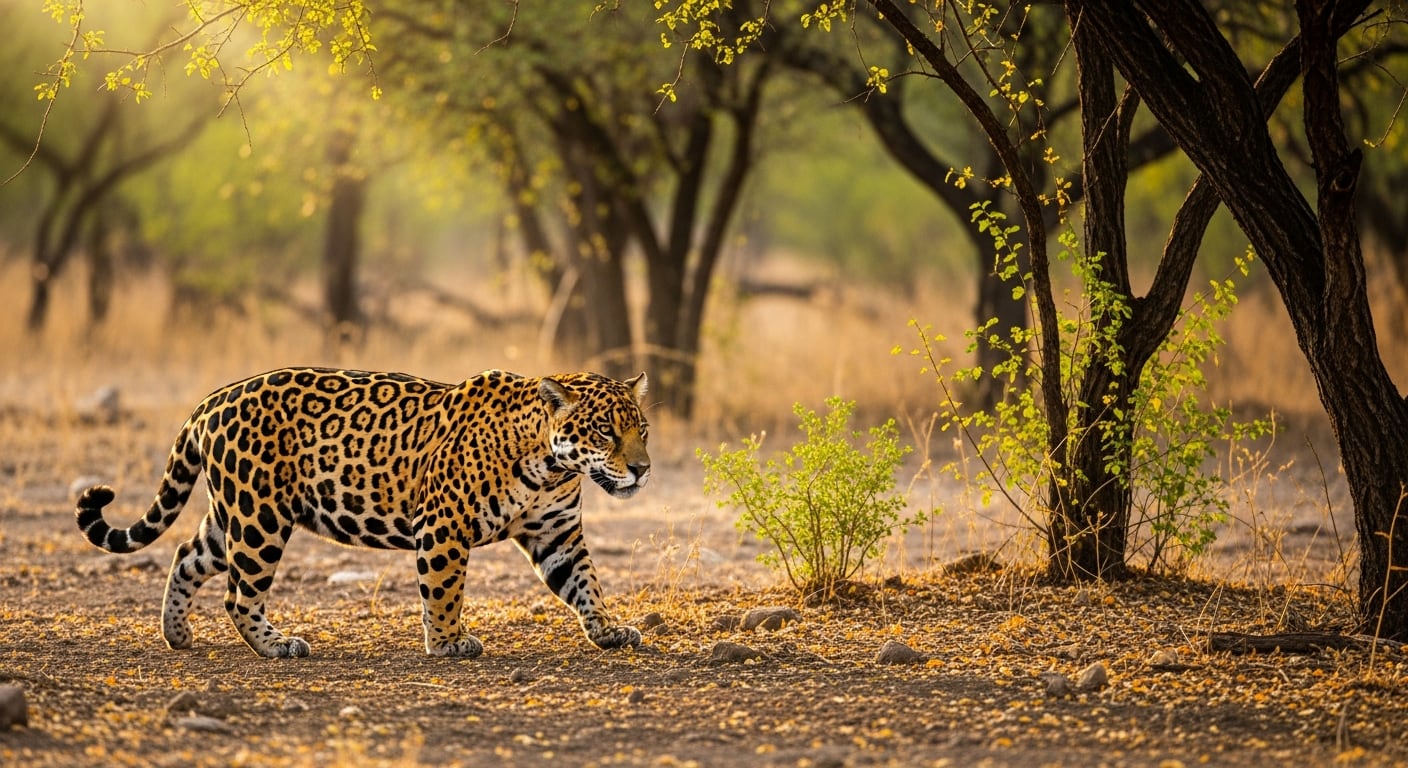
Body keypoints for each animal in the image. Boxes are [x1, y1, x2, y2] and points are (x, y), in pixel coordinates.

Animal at [75, 367, 651, 659]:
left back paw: (176, 633)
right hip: (261, 517)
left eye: (641, 429)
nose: (643, 470)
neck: (548, 463)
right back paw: (277, 645)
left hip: (236, 513)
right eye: (604, 431)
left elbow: (586, 582)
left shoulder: (556, 533)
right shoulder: (442, 524)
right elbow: (444, 589)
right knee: (239, 594)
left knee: (186, 555)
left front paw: (608, 630)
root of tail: (211, 399)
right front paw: (447, 642)